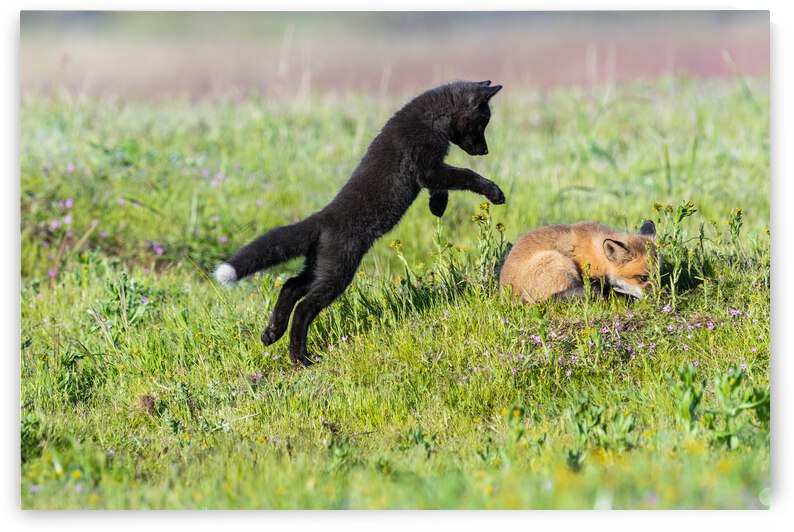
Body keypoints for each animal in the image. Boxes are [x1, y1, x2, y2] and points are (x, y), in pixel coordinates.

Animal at [215, 80, 505, 365]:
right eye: (483, 122)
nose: (485, 151)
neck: (431, 118)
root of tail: (322, 219)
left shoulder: (432, 169)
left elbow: (443, 188)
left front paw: (438, 207)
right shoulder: (427, 167)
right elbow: (466, 176)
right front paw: (495, 193)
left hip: (320, 267)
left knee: (290, 286)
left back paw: (272, 333)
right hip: (338, 272)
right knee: (304, 307)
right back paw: (300, 357)